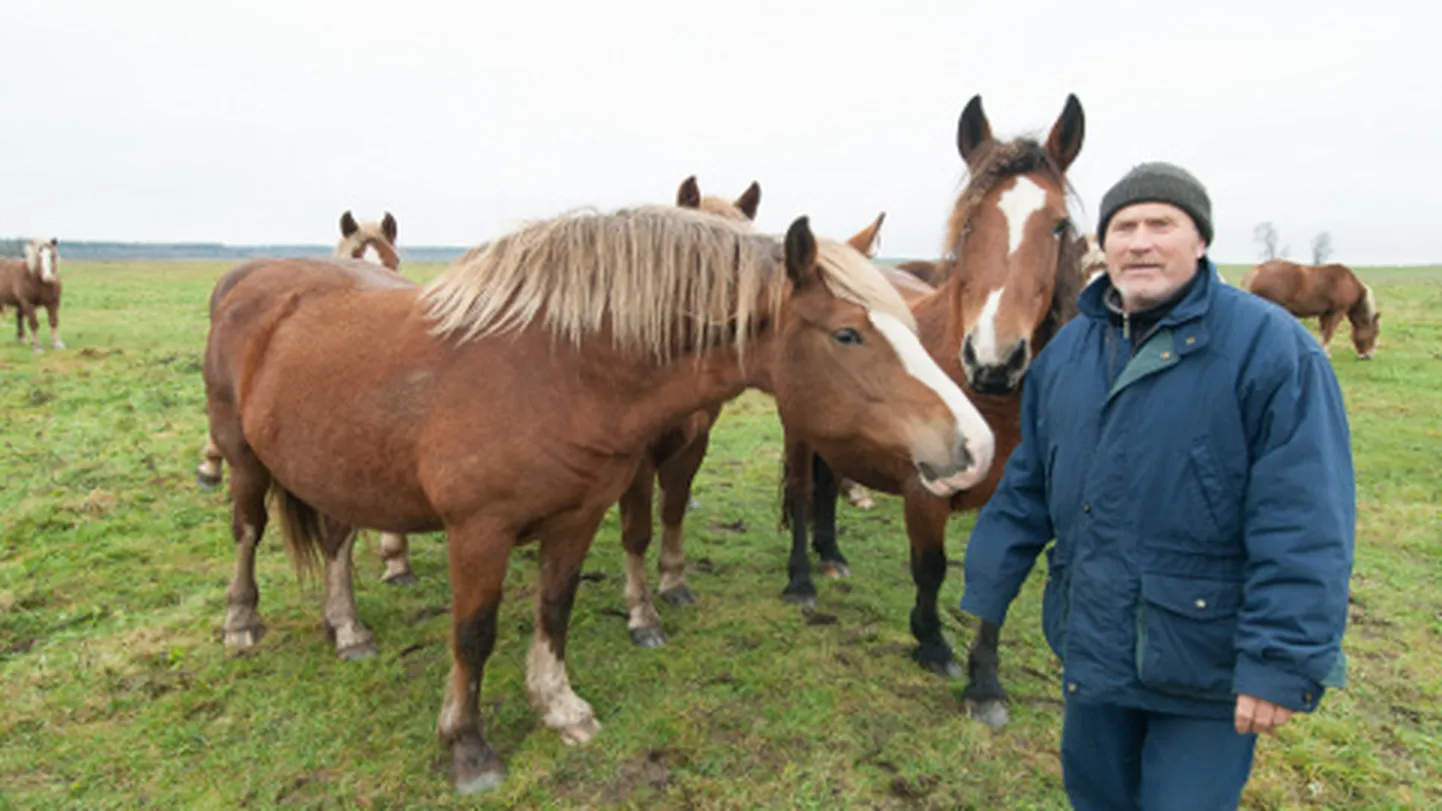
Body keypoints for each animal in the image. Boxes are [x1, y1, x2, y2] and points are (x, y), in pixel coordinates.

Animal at [200, 200, 992, 790]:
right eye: (849, 334)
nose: (976, 445)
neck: (560, 369)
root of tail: (252, 281)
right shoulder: (478, 531)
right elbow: (474, 634)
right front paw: (468, 746)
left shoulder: (577, 517)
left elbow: (555, 610)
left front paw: (559, 707)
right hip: (243, 457)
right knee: (247, 530)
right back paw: (242, 621)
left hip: (333, 465)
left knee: (336, 540)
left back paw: (349, 629)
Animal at [778, 93, 1084, 727]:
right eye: (968, 224)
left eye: (1059, 225)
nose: (993, 360)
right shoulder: (925, 491)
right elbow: (931, 567)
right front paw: (932, 642)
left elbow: (998, 585)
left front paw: (985, 682)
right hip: (799, 431)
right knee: (801, 489)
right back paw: (802, 580)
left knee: (827, 484)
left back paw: (831, 553)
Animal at [1234, 258, 1378, 356]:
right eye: (1376, 332)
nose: (1368, 355)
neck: (1348, 282)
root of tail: (1258, 270)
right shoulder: (1337, 312)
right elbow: (1329, 332)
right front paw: (1326, 353)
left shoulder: (1325, 314)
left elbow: (1323, 331)